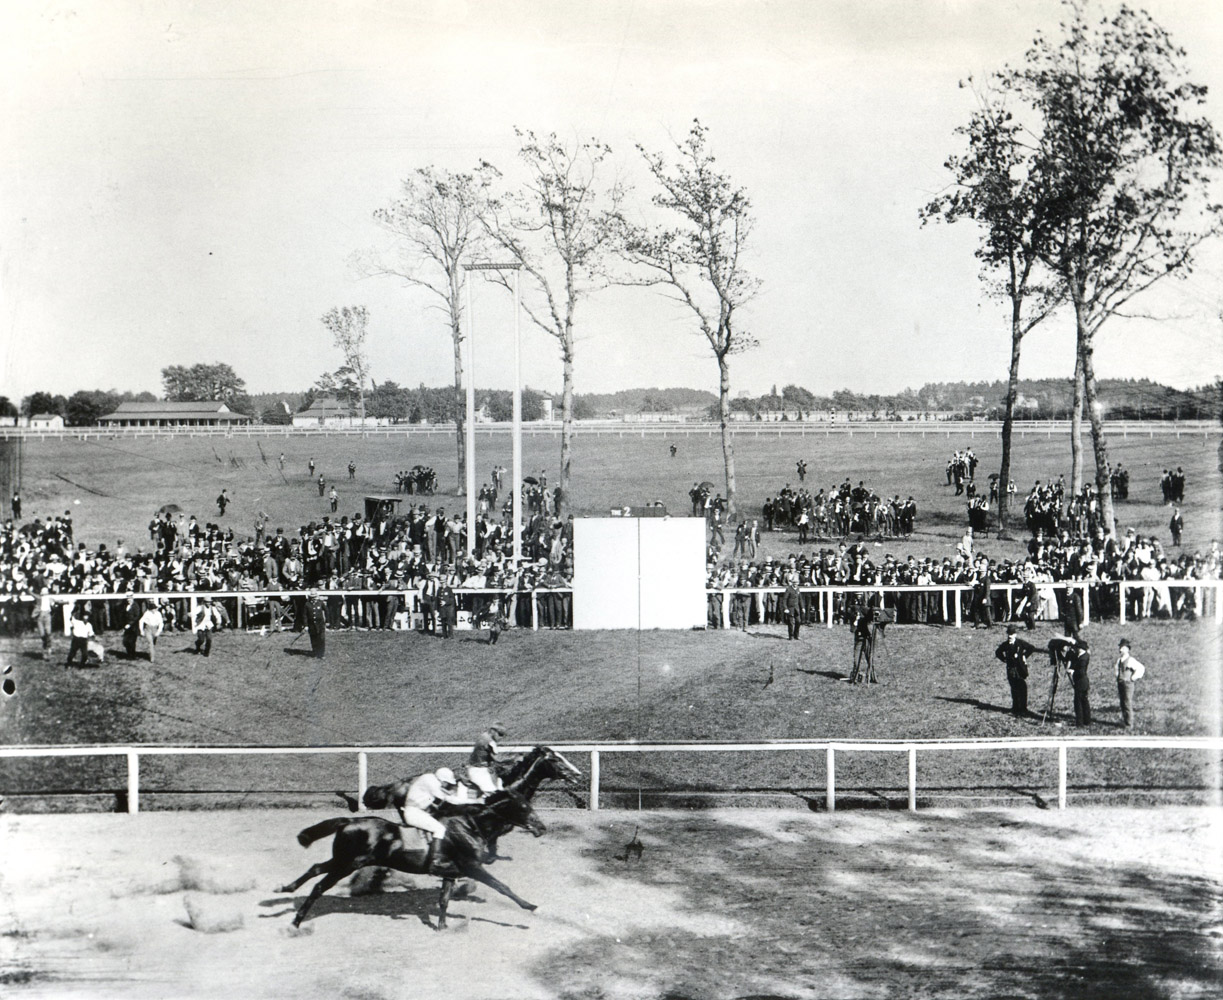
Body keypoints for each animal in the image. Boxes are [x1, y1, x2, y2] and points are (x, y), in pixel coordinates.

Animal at [280, 787, 547, 929]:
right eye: (524, 807)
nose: (541, 828)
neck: (470, 825)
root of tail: (349, 821)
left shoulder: (450, 872)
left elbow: (444, 900)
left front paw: (442, 927)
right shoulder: (472, 866)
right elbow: (502, 886)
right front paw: (530, 906)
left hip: (342, 861)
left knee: (315, 868)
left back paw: (286, 888)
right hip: (347, 863)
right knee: (319, 886)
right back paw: (296, 922)